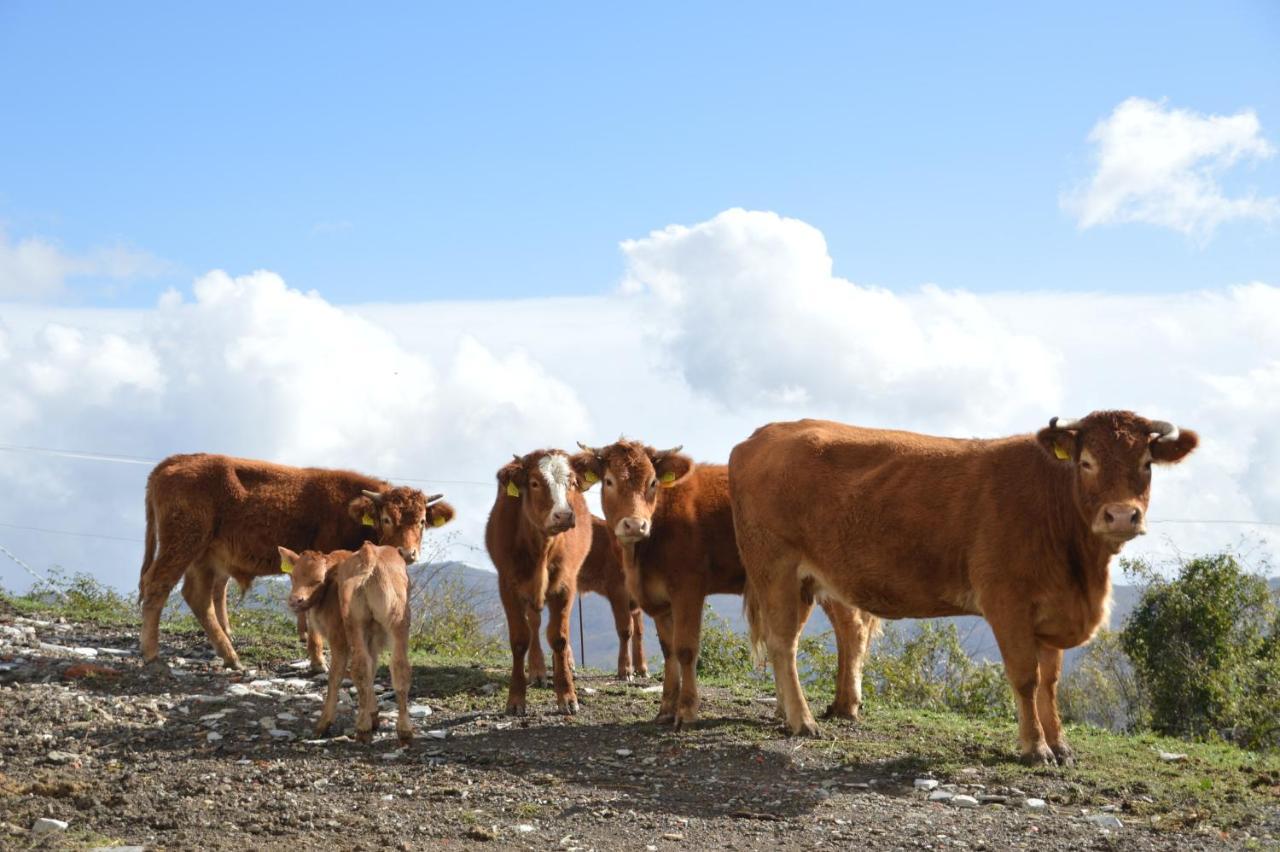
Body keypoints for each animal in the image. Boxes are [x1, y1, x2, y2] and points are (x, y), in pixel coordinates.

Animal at [135, 450, 453, 670]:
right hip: (182, 546)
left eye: (422, 521)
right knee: (158, 586)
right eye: (387, 518)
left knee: (198, 597)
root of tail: (175, 461)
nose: (406, 553)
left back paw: (230, 656)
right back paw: (152, 654)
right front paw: (319, 660)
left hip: (204, 557)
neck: (348, 509)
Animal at [277, 539, 412, 741]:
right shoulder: (371, 640)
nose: (295, 600)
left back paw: (356, 727)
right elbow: (372, 670)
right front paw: (374, 715)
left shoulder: (338, 637)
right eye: (293, 576)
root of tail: (369, 553)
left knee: (356, 668)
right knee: (398, 667)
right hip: (398, 623)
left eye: (318, 580)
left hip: (352, 625)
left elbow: (335, 676)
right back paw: (404, 730)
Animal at [483, 447, 593, 711]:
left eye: (572, 483)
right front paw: (516, 698)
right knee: (533, 623)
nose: (563, 515)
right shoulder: (508, 586)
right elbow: (520, 638)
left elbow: (559, 637)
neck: (542, 547)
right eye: (534, 483)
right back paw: (537, 670)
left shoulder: (565, 585)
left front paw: (567, 695)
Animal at [570, 437, 880, 731]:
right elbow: (668, 651)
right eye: (609, 481)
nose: (635, 525)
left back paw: (846, 706)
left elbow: (686, 649)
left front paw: (686, 712)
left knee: (851, 629)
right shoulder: (661, 599)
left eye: (653, 482)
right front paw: (666, 709)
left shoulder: (689, 588)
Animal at [732, 411, 1198, 762]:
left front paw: (1061, 744)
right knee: (783, 644)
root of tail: (763, 434)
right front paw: (1035, 748)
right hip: (775, 568)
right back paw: (802, 720)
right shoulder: (1006, 602)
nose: (1121, 515)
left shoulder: (1052, 611)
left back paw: (790, 712)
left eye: (1146, 464)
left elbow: (1050, 683)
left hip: (805, 582)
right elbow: (1026, 679)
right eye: (1087, 463)